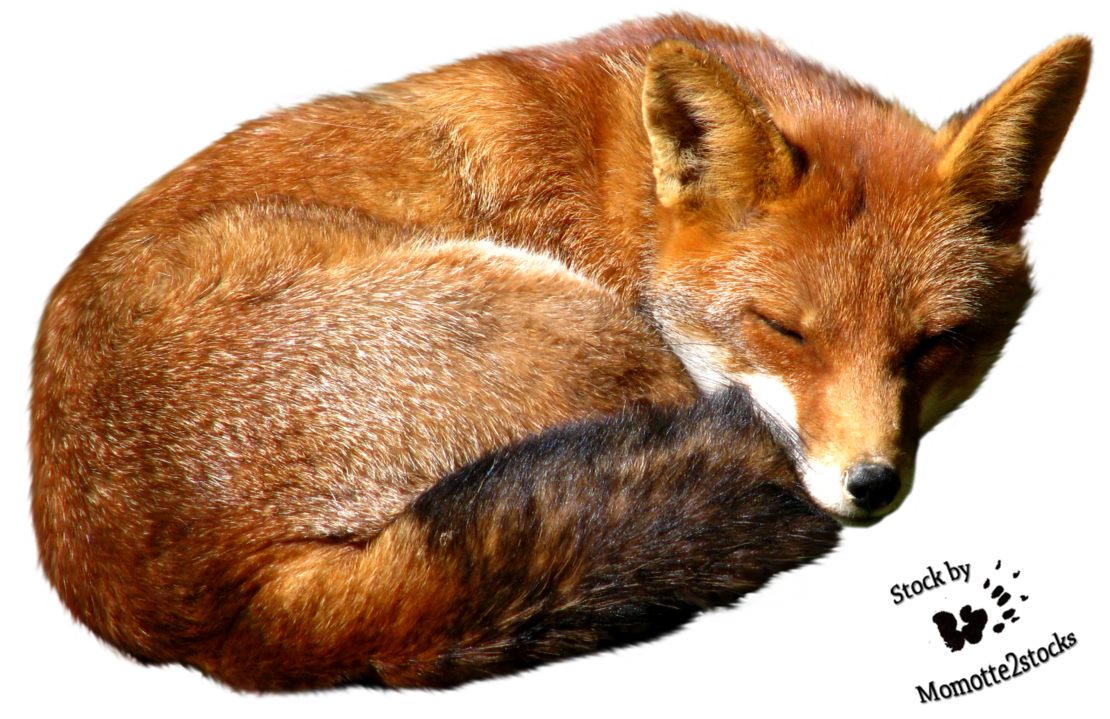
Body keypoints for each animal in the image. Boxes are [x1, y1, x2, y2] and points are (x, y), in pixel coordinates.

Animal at [25, 7, 1092, 699]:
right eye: (784, 330)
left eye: (937, 345)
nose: (869, 484)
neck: (630, 196)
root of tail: (217, 616)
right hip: (579, 327)